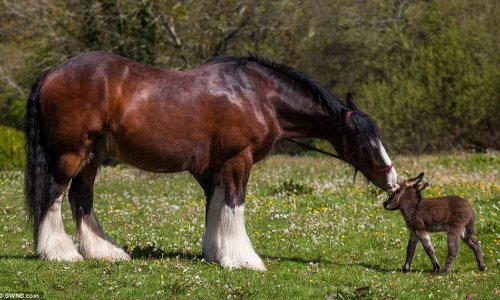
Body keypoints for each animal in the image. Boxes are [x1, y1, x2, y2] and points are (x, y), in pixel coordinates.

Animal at [24, 51, 398, 270]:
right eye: (364, 141)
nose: (393, 182)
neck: (258, 95)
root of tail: (52, 72)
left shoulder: (215, 167)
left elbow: (217, 207)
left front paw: (218, 253)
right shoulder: (238, 159)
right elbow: (234, 205)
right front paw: (243, 259)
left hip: (93, 155)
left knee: (81, 197)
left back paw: (104, 252)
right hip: (72, 152)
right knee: (54, 195)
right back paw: (60, 252)